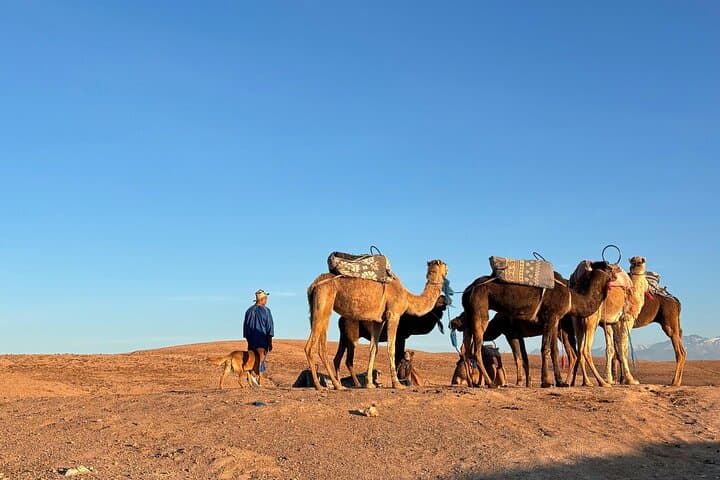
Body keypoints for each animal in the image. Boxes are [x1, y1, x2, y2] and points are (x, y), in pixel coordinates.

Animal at [305, 259, 448, 390]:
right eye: (444, 265)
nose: (447, 269)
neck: (408, 298)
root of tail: (312, 285)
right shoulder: (394, 315)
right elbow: (392, 349)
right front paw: (397, 384)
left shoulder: (379, 321)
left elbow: (373, 349)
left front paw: (370, 383)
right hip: (325, 301)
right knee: (311, 347)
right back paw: (319, 385)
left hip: (322, 310)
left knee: (325, 349)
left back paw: (338, 385)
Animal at [461, 261, 615, 388]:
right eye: (609, 267)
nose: (615, 275)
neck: (572, 299)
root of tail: (468, 289)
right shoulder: (550, 317)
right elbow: (545, 349)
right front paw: (546, 382)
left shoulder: (555, 321)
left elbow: (554, 351)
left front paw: (559, 382)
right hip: (480, 311)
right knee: (476, 349)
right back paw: (489, 383)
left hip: (470, 315)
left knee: (466, 348)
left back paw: (473, 383)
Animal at [571, 257, 649, 387]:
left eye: (640, 262)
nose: (636, 263)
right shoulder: (626, 318)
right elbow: (623, 348)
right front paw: (630, 379)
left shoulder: (611, 322)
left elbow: (611, 349)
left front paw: (610, 378)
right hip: (592, 319)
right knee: (585, 349)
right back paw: (601, 382)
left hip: (577, 321)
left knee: (579, 350)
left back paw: (587, 382)